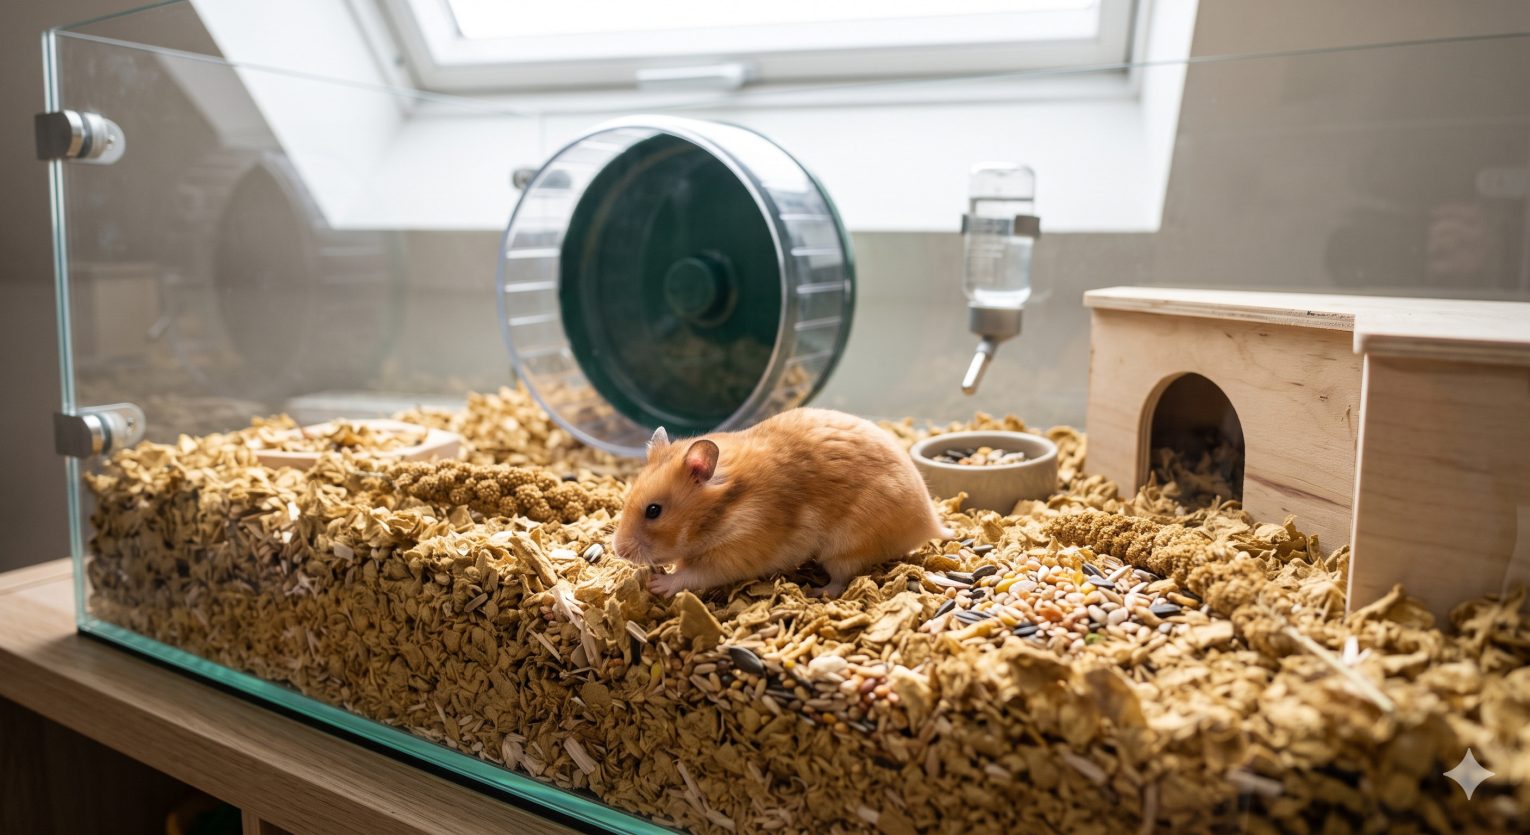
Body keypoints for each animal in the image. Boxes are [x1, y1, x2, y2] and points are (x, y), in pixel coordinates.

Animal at [612, 407, 952, 598]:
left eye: (653, 511)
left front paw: (658, 585)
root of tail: (930, 523)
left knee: (841, 578)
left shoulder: (739, 552)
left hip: (847, 547)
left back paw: (817, 591)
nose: (618, 551)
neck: (723, 510)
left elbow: (693, 574)